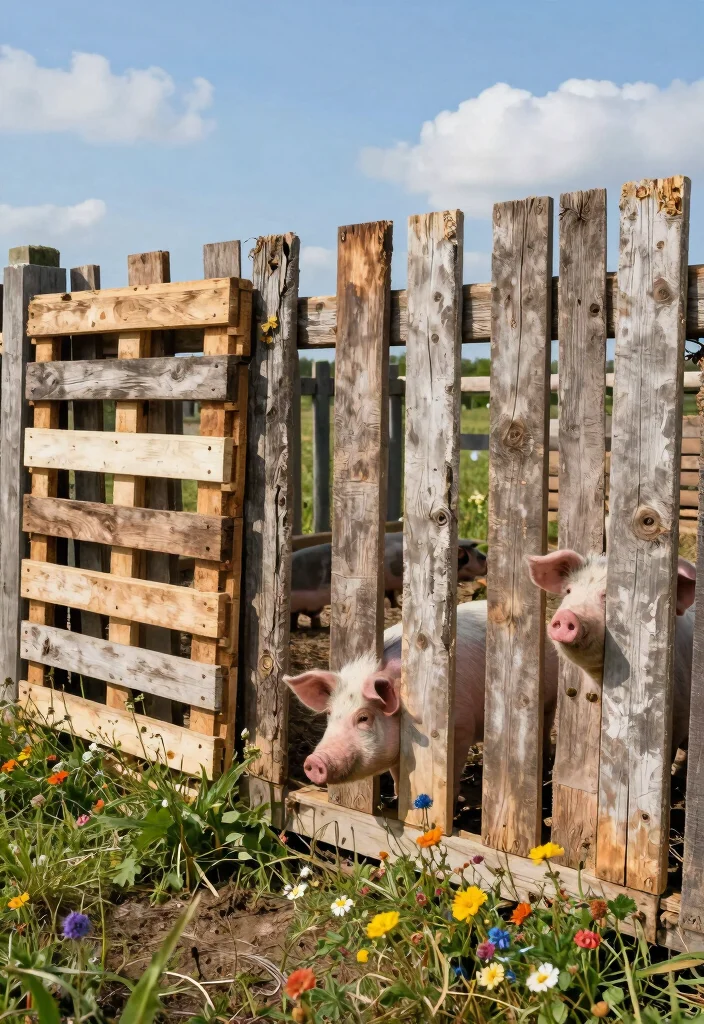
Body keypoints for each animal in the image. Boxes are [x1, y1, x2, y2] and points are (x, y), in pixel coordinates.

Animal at [284, 599, 558, 796]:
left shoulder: (460, 729)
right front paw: (398, 796)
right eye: (330, 714)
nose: (314, 761)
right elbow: (396, 775)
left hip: (549, 700)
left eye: (364, 717)